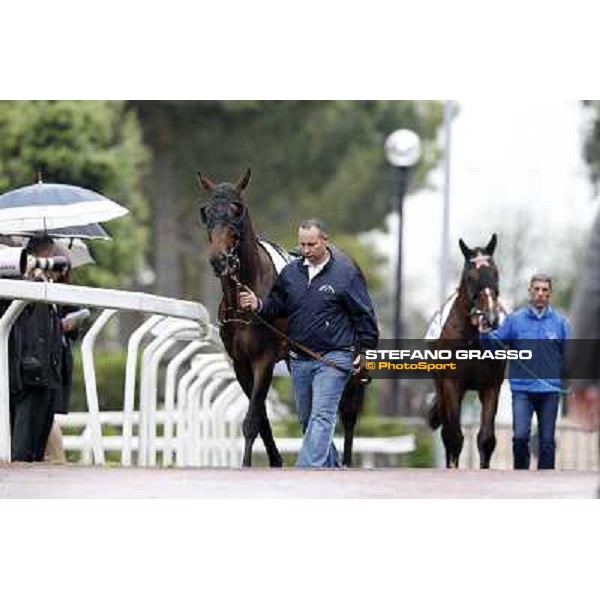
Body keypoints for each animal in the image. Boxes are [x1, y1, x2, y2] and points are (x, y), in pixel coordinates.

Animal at [426, 234, 506, 468]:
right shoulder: (452, 384)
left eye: (495, 272)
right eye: (471, 277)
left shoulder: (491, 385)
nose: (490, 317)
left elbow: (486, 438)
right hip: (441, 386)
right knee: (447, 433)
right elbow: (454, 437)